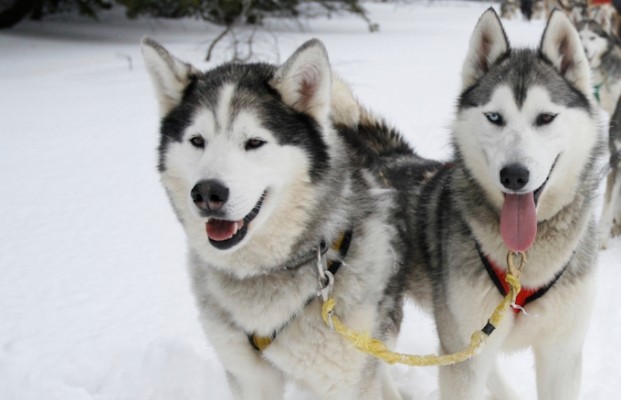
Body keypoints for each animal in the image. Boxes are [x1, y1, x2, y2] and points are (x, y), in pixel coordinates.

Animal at [139, 37, 422, 400]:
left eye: (255, 142)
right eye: (197, 141)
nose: (206, 193)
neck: (266, 270)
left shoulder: (346, 377)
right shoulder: (249, 377)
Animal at [402, 9, 600, 400]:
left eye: (545, 118)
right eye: (495, 117)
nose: (514, 176)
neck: (523, 261)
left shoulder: (562, 353)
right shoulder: (463, 357)